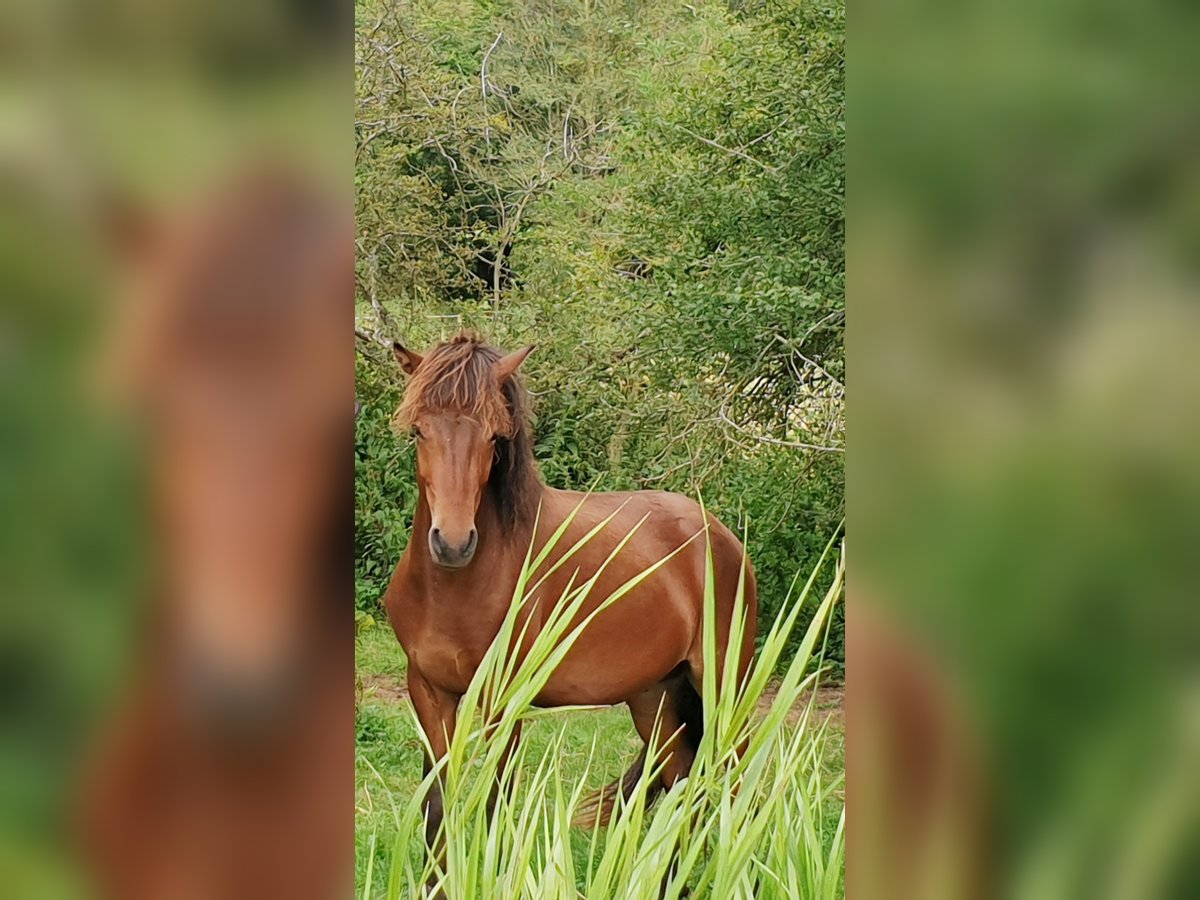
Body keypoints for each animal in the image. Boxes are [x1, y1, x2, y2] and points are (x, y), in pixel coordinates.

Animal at [381, 338, 758, 868]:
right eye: (418, 431)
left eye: (494, 438)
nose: (453, 544)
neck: (455, 588)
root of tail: (719, 533)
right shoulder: (428, 694)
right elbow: (436, 811)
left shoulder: (504, 702)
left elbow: (496, 808)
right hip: (656, 699)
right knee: (683, 792)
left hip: (725, 687)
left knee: (737, 791)